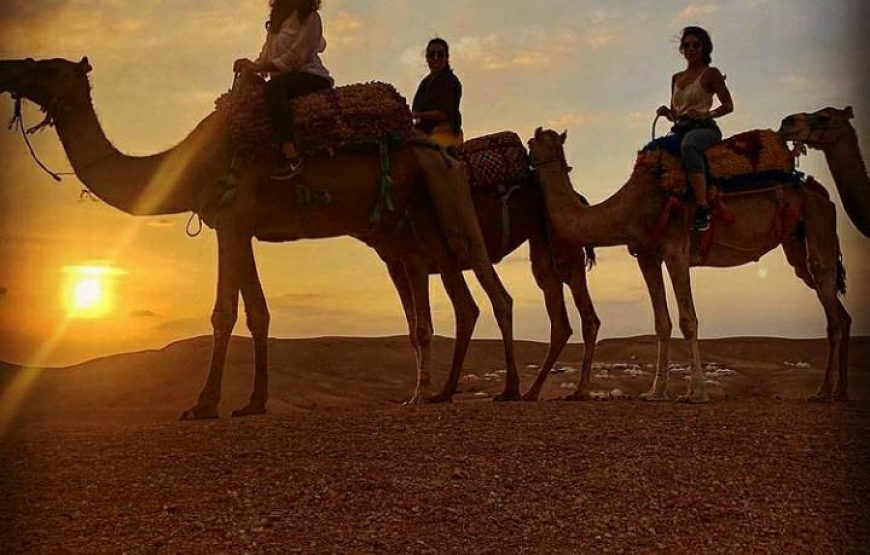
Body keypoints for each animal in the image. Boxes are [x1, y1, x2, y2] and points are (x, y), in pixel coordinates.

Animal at [0, 57, 522, 417]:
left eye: (47, 66)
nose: (7, 68)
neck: (187, 165)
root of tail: (438, 148)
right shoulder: (240, 227)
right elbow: (259, 312)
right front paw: (253, 402)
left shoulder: (230, 222)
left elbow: (223, 312)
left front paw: (203, 404)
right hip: (417, 216)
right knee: (462, 296)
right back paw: (442, 393)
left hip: (446, 190)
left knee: (493, 285)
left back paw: (510, 390)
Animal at [364, 170, 601, 404]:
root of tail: (578, 198)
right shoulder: (395, 264)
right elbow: (412, 330)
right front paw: (419, 393)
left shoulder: (414, 257)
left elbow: (422, 327)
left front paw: (420, 394)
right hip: (540, 240)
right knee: (555, 302)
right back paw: (533, 392)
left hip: (562, 239)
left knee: (580, 304)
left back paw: (577, 390)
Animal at [527, 126, 853, 402]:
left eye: (530, 143)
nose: (526, 160)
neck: (630, 207)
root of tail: (818, 190)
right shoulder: (647, 255)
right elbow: (661, 322)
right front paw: (655, 392)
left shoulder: (675, 249)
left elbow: (688, 319)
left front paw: (696, 392)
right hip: (796, 241)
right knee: (830, 298)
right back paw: (838, 392)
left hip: (818, 220)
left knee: (829, 299)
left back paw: (823, 392)